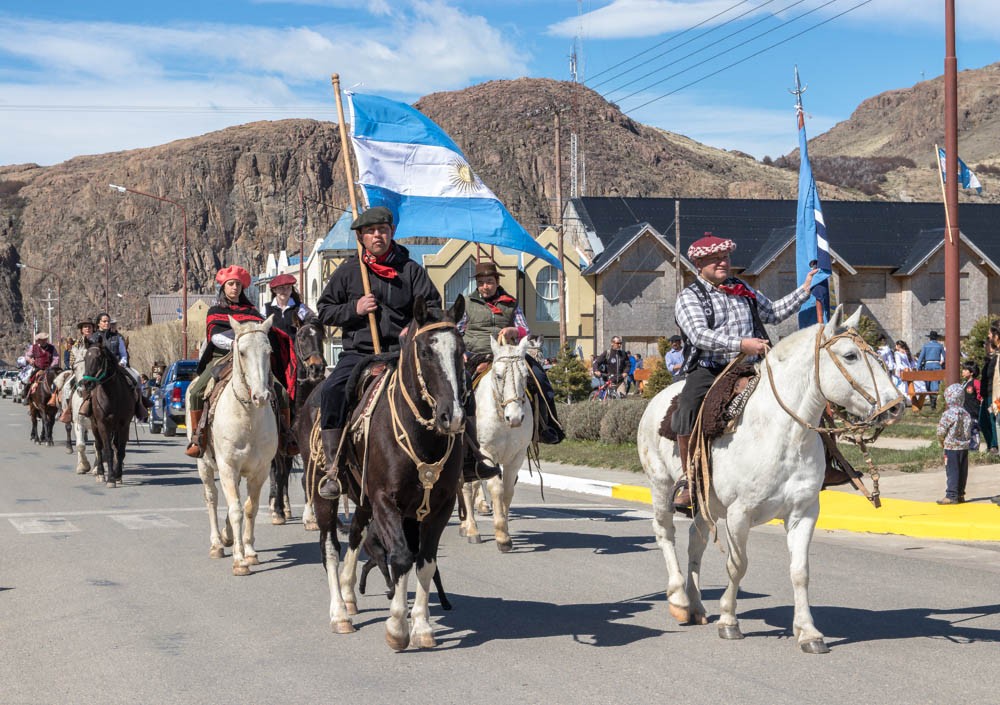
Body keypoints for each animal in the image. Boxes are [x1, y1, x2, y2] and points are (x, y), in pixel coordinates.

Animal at [81, 344, 136, 486]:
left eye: (99, 358)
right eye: (85, 358)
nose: (87, 383)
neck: (112, 395)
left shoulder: (124, 425)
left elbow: (120, 450)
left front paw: (117, 475)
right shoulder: (103, 424)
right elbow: (107, 450)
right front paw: (110, 478)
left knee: (115, 446)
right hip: (95, 425)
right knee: (99, 446)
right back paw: (100, 473)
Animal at [188, 316, 278, 576]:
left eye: (269, 351)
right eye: (242, 352)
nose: (261, 396)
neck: (247, 417)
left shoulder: (260, 470)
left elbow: (249, 507)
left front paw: (249, 551)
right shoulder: (227, 467)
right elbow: (235, 509)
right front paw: (239, 560)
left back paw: (228, 537)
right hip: (204, 465)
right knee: (212, 497)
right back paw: (217, 544)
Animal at [302, 292, 466, 648]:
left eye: (461, 351)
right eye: (425, 351)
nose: (453, 417)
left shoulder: (440, 507)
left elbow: (425, 561)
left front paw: (422, 626)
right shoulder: (385, 501)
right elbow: (401, 556)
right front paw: (397, 626)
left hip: (363, 500)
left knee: (354, 535)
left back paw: (350, 595)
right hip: (326, 494)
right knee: (330, 548)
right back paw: (340, 613)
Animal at [460, 334, 540, 552]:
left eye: (526, 376)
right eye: (497, 375)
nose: (515, 418)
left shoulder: (516, 457)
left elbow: (508, 491)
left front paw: (504, 528)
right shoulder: (486, 453)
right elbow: (495, 488)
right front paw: (502, 537)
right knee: (466, 487)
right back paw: (470, 528)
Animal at [640, 308, 908, 656]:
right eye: (850, 355)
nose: (896, 405)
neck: (783, 434)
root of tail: (656, 400)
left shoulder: (803, 513)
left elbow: (800, 572)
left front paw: (808, 632)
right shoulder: (739, 514)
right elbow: (737, 565)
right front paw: (729, 622)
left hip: (703, 505)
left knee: (695, 541)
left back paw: (697, 606)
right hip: (660, 486)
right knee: (665, 533)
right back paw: (679, 601)